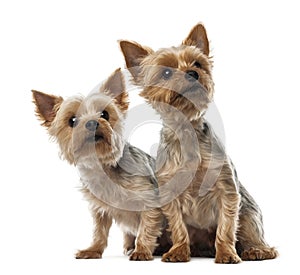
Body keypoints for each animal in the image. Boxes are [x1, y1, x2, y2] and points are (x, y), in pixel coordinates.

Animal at [31, 69, 163, 260]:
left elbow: (147, 227)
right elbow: (99, 231)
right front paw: (93, 250)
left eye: (105, 114)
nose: (92, 122)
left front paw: (142, 250)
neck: (103, 167)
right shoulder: (100, 209)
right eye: (72, 121)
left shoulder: (148, 199)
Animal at [118, 23, 278, 264]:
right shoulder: (171, 195)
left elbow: (226, 227)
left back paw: (256, 250)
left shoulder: (226, 189)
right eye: (166, 72)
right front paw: (178, 252)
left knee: (251, 231)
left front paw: (227, 254)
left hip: (248, 214)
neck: (188, 132)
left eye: (198, 64)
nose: (192, 73)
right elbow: (178, 227)